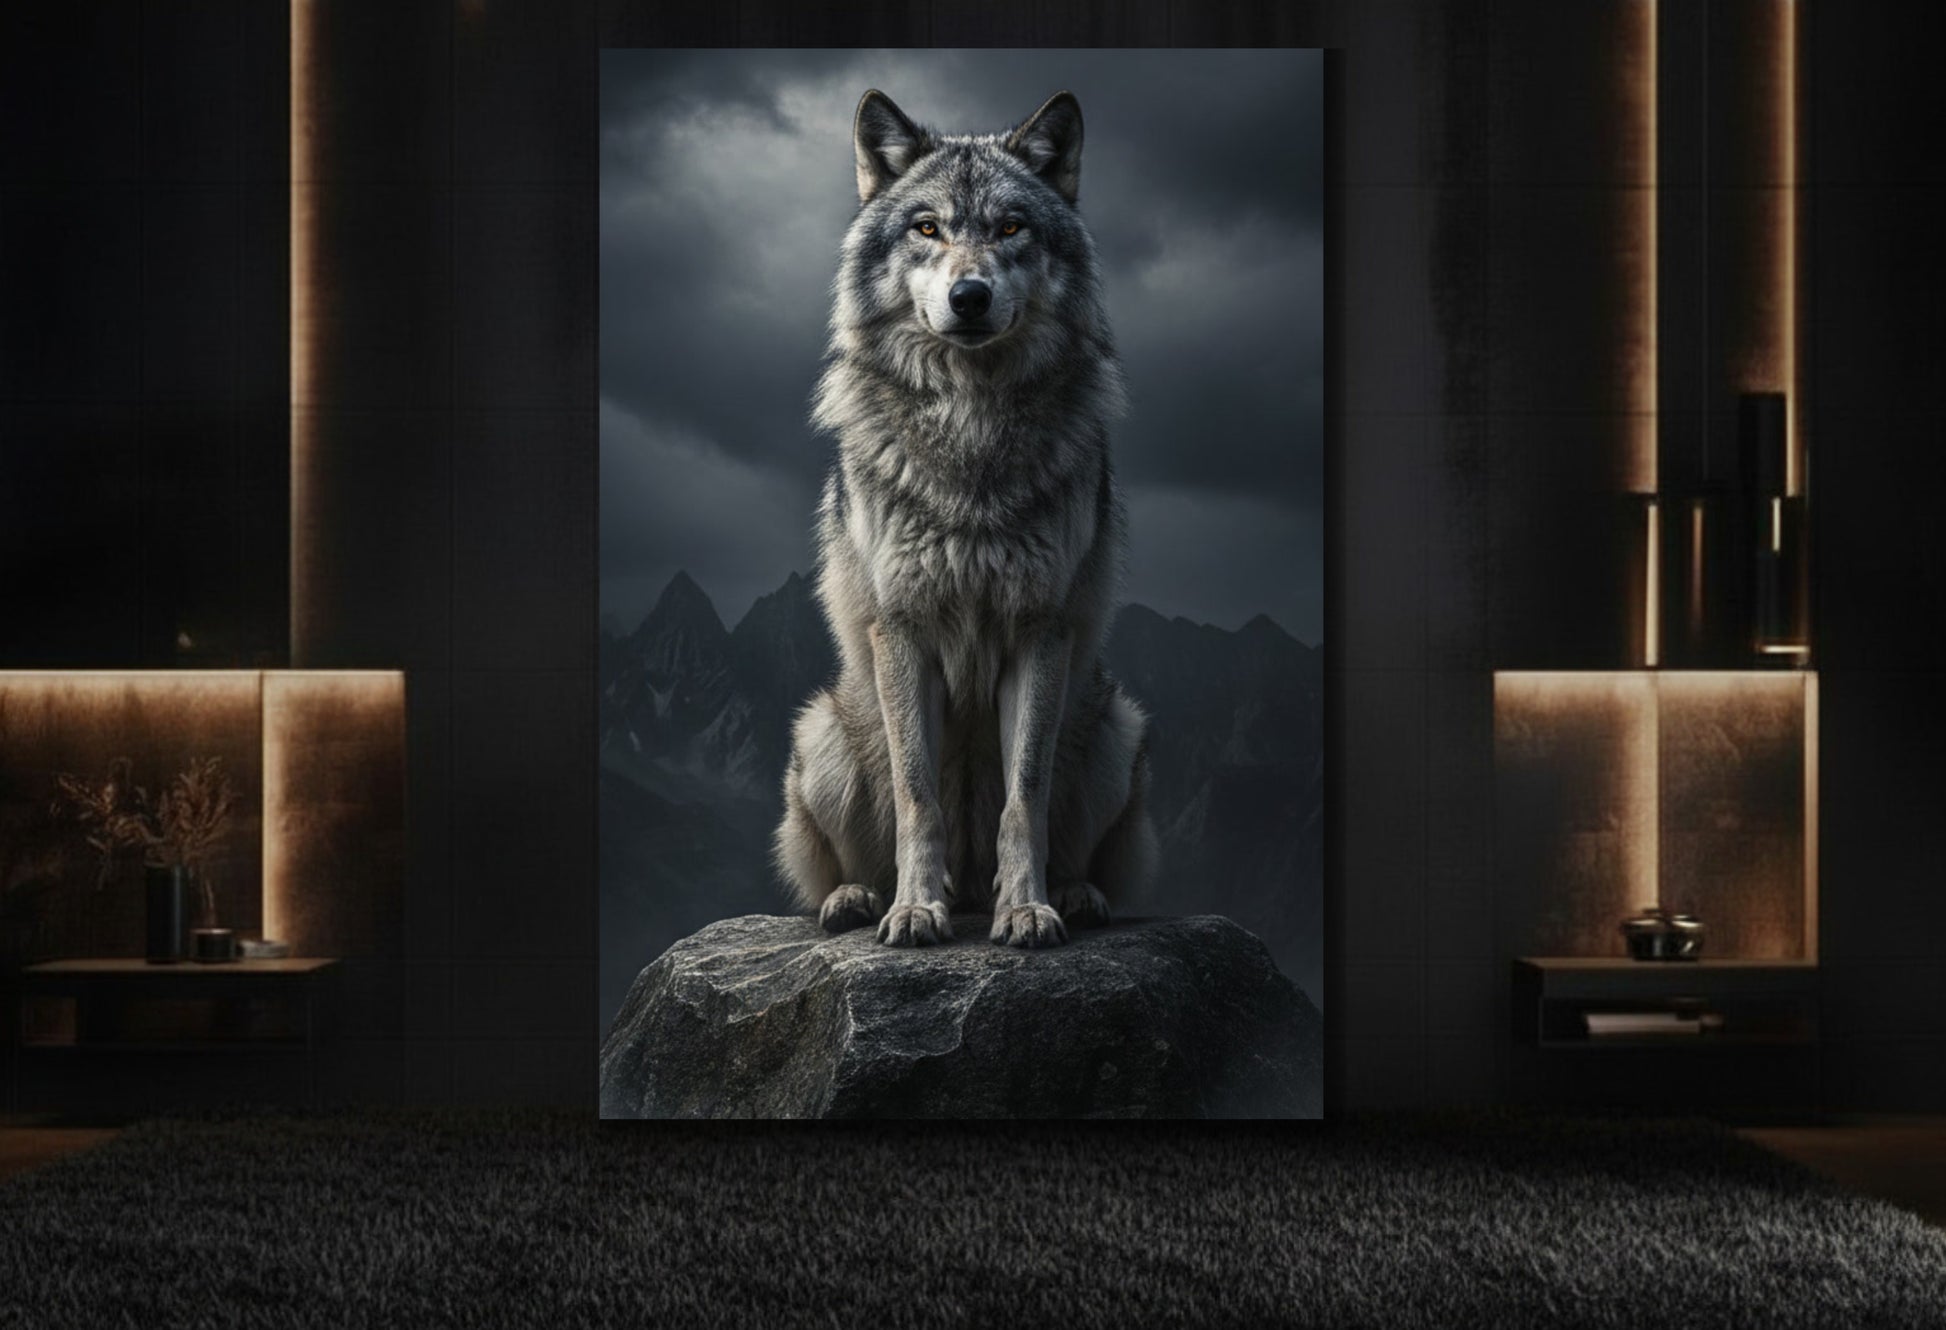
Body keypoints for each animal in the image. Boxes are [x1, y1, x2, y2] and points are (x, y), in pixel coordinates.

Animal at [772, 88, 1159, 949]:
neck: (971, 428)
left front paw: (1028, 909)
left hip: (1115, 730)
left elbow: (1026, 796)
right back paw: (860, 899)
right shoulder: (902, 627)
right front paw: (917, 909)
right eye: (927, 228)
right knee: (846, 864)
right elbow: (919, 798)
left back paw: (1071, 894)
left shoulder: (1039, 628)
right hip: (822, 735)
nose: (970, 296)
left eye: (1011, 228)